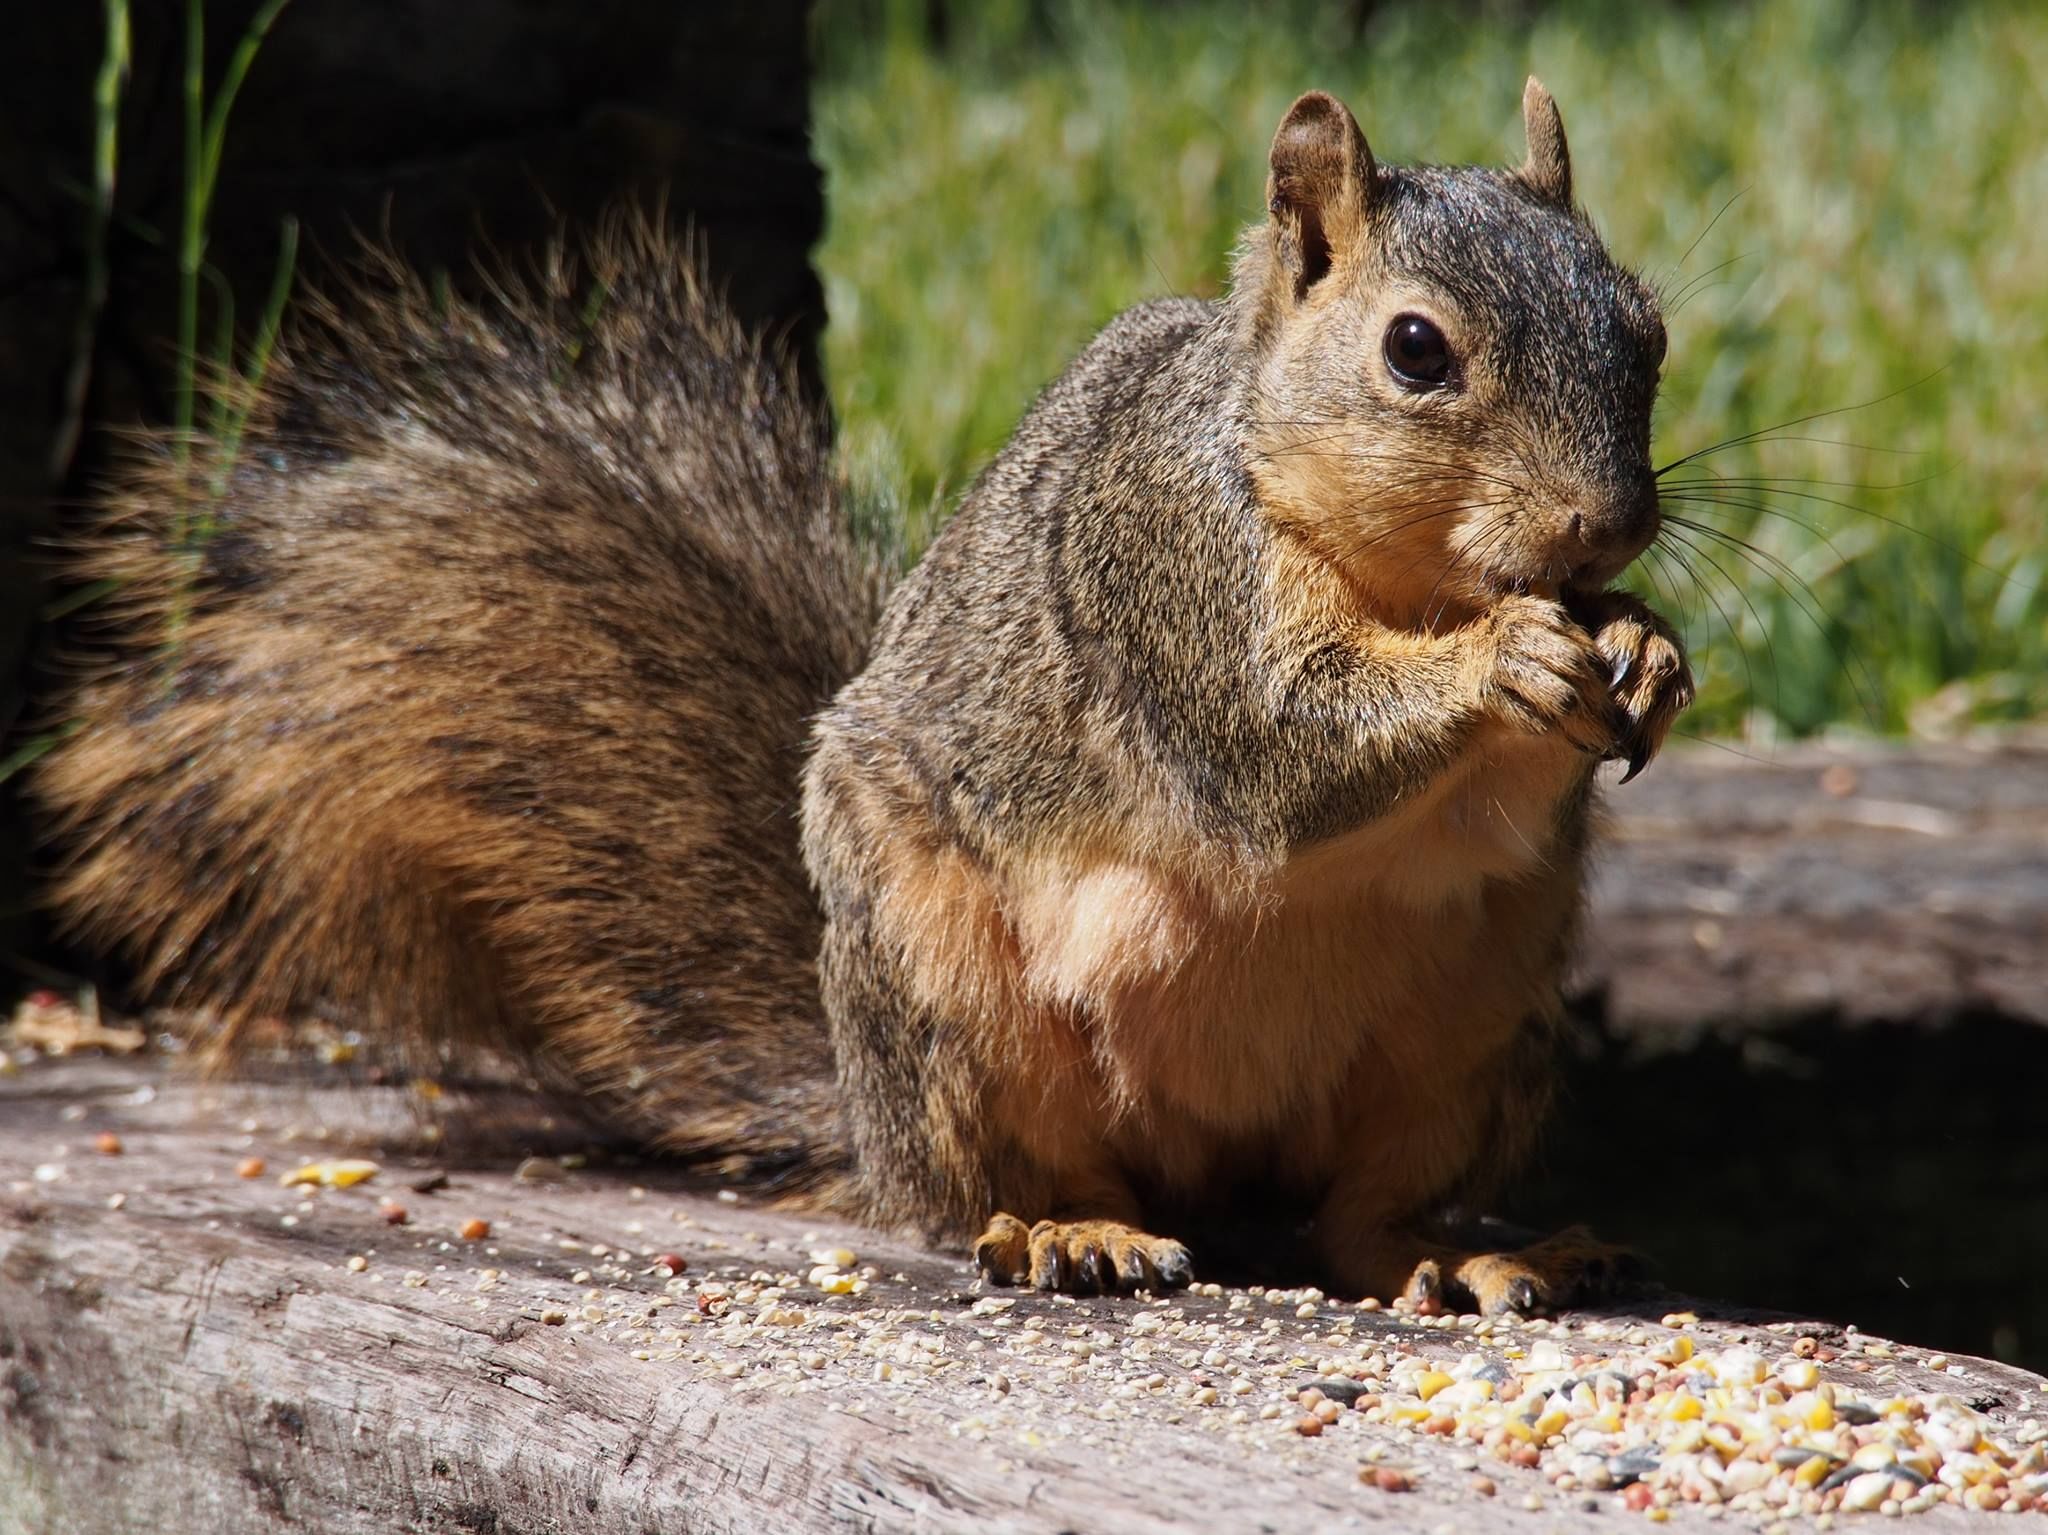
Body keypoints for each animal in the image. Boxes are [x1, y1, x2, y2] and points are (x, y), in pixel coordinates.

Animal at [36, 80, 1692, 1314]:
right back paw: (1067, 1228)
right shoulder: (1169, 582)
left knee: (1357, 1218)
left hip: (1469, 1032)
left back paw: (1453, 1248)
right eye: (1415, 349)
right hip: (954, 992)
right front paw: (1513, 659)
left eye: (1647, 327)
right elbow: (1282, 746)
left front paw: (1648, 652)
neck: (1395, 565)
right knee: (993, 1187)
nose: (1604, 525)